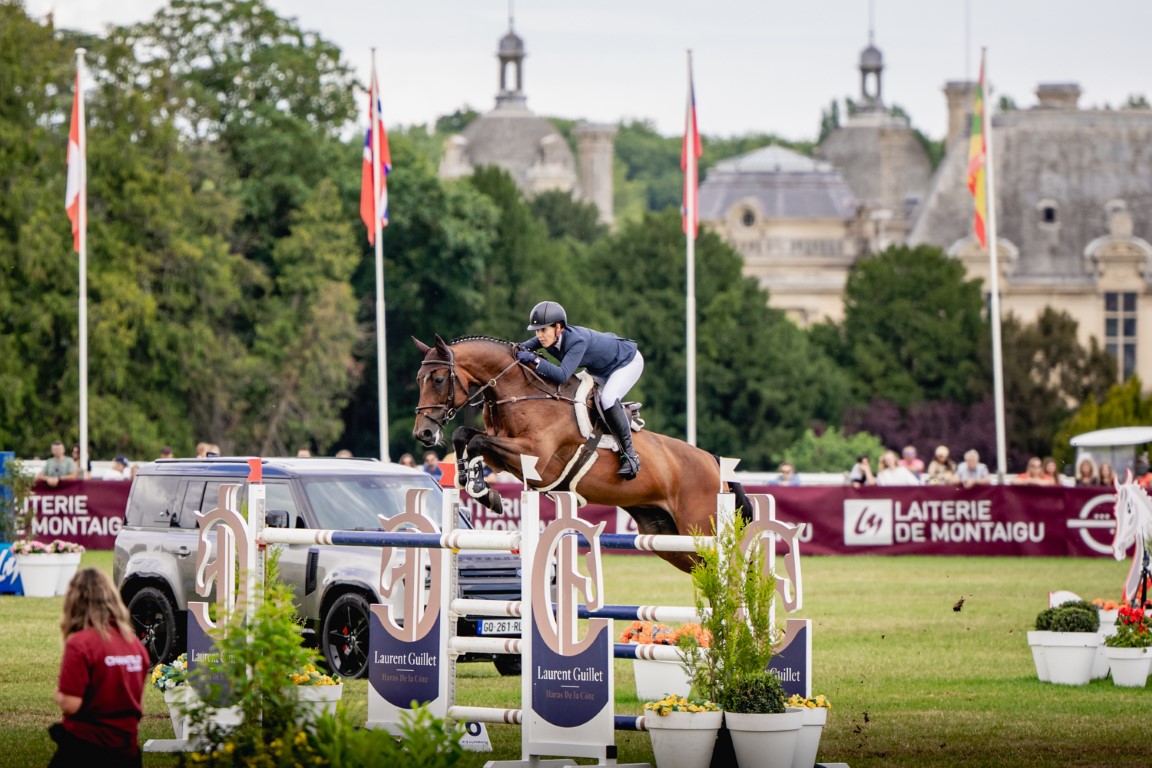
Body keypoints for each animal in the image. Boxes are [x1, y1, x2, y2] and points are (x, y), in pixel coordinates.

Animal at [412, 333, 746, 573]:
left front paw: (484, 491)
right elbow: (465, 437)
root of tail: (715, 464)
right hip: (670, 539)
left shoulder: (535, 457)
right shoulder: (503, 453)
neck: (520, 393)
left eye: (438, 379)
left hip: (700, 530)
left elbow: (477, 442)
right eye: (418, 380)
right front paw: (473, 483)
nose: (423, 434)